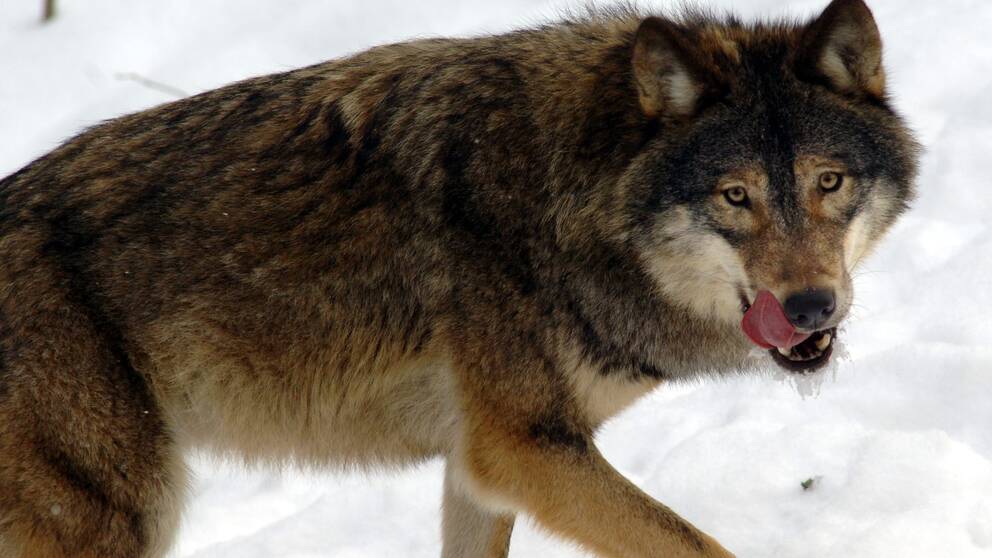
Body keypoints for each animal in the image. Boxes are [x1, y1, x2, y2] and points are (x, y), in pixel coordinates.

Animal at [0, 0, 916, 556]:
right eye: (736, 196)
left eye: (828, 182)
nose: (811, 308)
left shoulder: (482, 468)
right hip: (119, 515)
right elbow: (704, 545)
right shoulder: (524, 449)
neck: (568, 199)